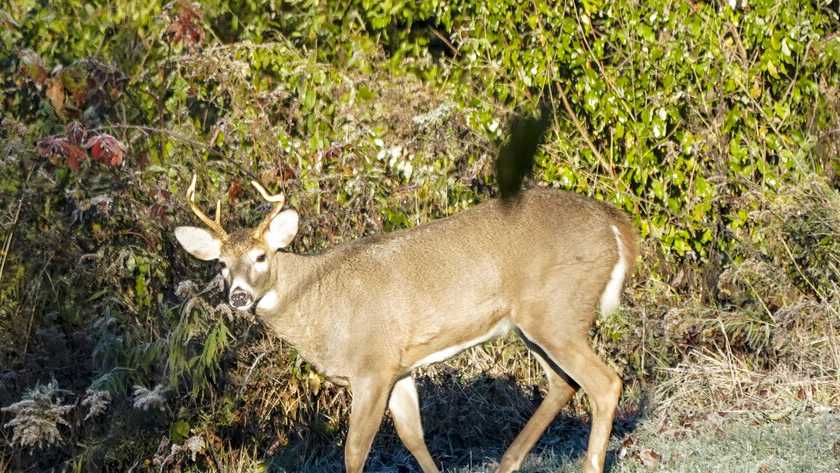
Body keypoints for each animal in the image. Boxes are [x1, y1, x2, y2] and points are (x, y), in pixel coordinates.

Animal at [176, 171, 636, 472]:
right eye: (220, 264)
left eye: (261, 256)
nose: (238, 296)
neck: (322, 302)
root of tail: (615, 225)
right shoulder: (400, 368)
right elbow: (414, 437)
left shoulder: (372, 366)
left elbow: (355, 450)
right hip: (534, 323)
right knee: (565, 383)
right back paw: (507, 463)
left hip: (557, 310)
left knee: (605, 382)